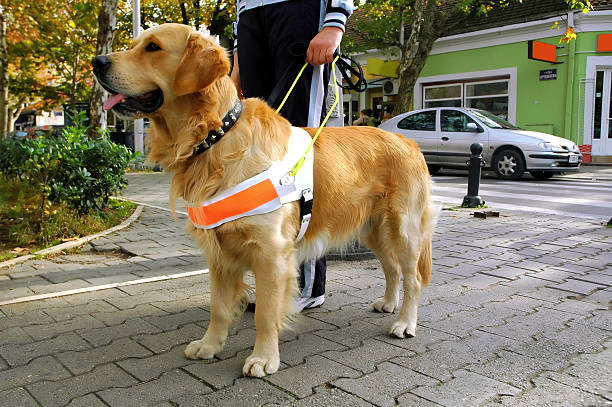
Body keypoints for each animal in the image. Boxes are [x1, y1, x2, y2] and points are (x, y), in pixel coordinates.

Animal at [92, 23, 436, 380]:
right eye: (136, 44)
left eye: (153, 47)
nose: (96, 62)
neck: (217, 137)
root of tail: (406, 139)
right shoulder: (219, 253)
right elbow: (218, 307)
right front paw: (209, 345)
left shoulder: (272, 254)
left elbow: (265, 314)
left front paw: (263, 358)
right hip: (372, 229)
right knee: (391, 268)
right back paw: (388, 304)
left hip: (404, 230)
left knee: (412, 278)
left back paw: (405, 322)